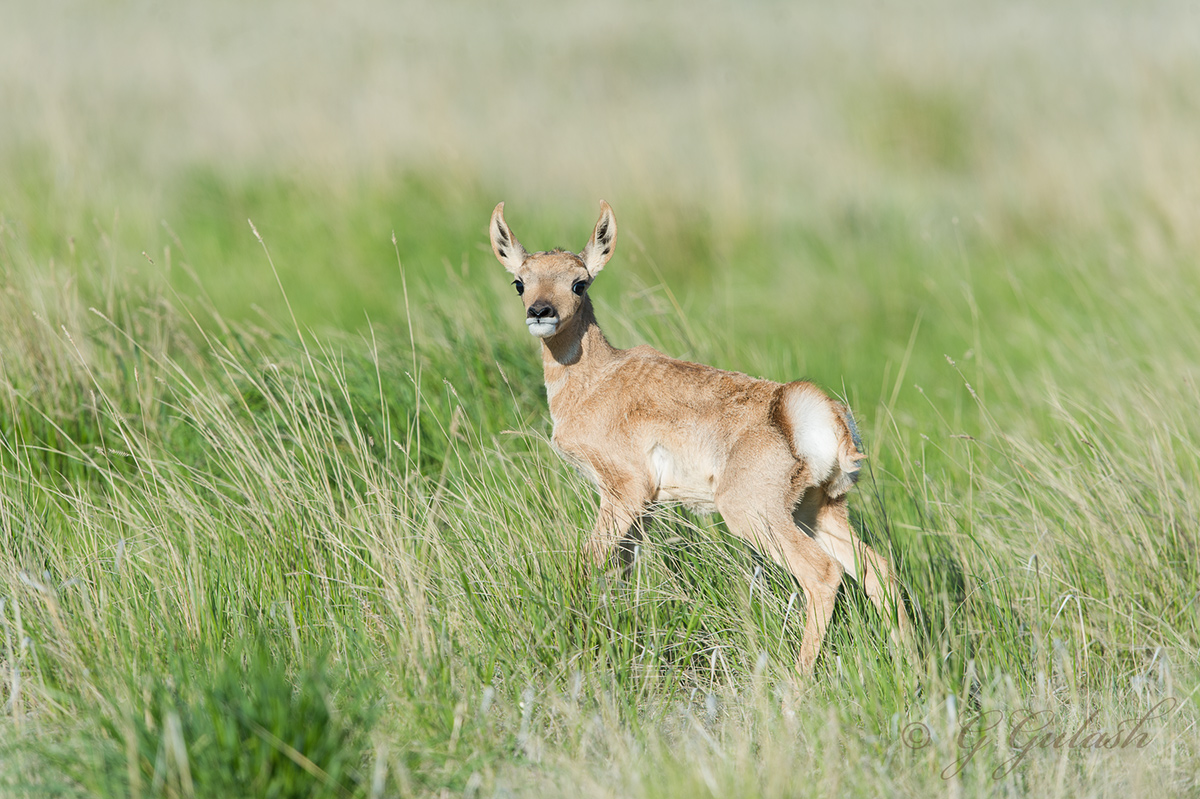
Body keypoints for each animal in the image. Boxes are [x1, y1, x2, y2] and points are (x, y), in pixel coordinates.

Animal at [489, 200, 911, 673]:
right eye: (520, 282)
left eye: (579, 282)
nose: (540, 311)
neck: (598, 378)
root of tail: (796, 406)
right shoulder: (644, 508)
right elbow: (622, 570)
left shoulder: (623, 492)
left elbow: (589, 562)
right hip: (816, 511)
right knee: (877, 569)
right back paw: (914, 667)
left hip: (755, 516)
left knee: (823, 574)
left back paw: (796, 679)